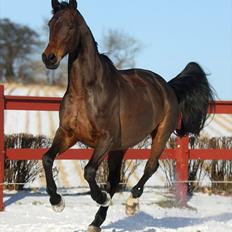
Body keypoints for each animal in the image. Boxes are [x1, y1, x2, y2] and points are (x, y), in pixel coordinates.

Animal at [41, 0, 214, 230]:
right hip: (119, 148)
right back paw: (96, 222)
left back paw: (131, 204)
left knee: (150, 167)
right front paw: (57, 202)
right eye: (51, 24)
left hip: (160, 134)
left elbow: (89, 171)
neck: (85, 92)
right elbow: (47, 158)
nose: (48, 57)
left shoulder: (105, 139)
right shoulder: (68, 134)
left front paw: (100, 197)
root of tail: (167, 87)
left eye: (69, 25)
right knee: (115, 180)